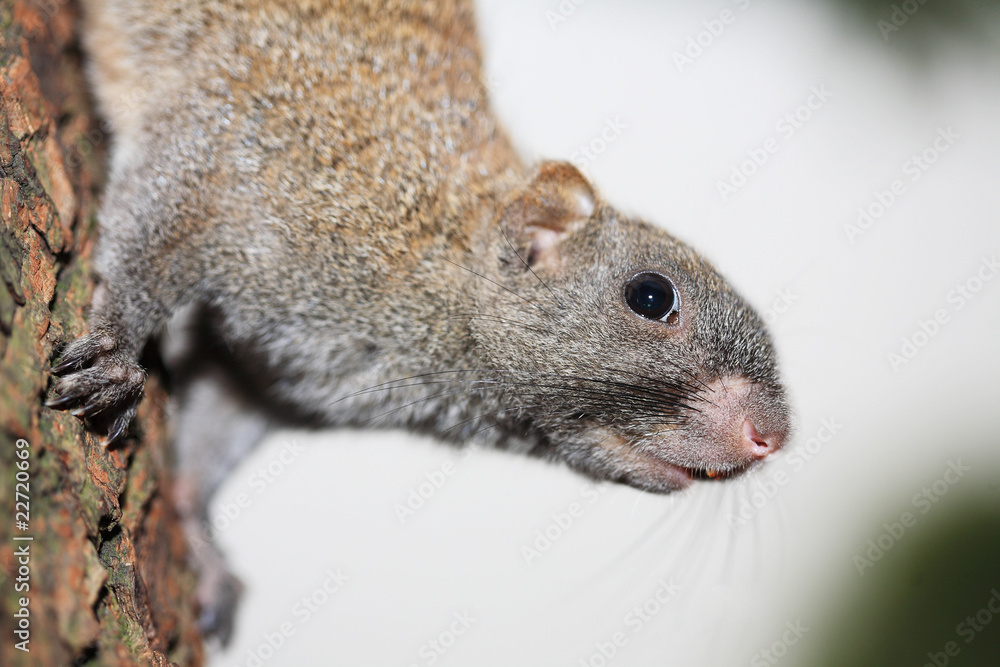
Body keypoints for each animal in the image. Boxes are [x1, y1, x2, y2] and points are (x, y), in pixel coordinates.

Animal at [48, 0, 791, 642]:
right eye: (650, 296)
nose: (770, 438)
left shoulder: (273, 372)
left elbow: (220, 417)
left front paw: (196, 532)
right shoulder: (245, 159)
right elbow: (159, 213)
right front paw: (115, 350)